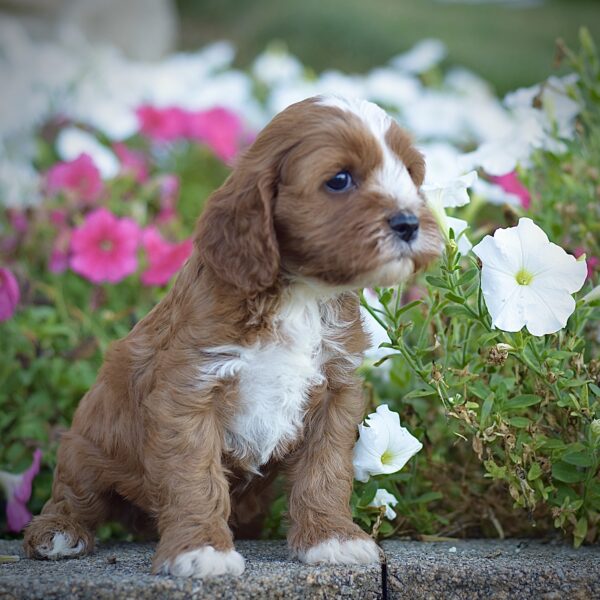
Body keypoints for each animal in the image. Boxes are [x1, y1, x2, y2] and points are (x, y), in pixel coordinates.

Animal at [22, 96, 440, 580]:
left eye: (408, 173)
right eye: (339, 180)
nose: (409, 223)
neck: (301, 294)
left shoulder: (336, 392)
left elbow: (326, 470)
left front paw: (332, 538)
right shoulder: (190, 392)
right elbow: (195, 477)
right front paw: (201, 550)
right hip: (87, 445)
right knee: (75, 494)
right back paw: (58, 533)